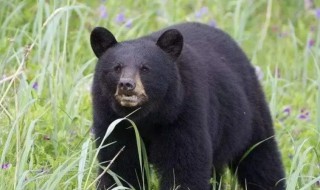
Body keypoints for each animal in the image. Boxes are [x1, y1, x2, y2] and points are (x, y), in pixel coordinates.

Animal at [89, 22, 284, 190]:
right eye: (117, 67)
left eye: (145, 68)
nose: (126, 85)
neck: (147, 117)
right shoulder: (112, 121)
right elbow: (119, 165)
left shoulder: (183, 114)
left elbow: (185, 166)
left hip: (249, 113)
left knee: (261, 159)